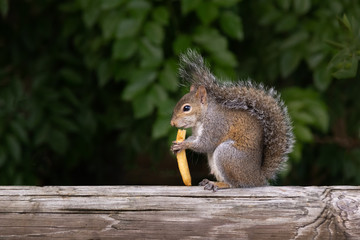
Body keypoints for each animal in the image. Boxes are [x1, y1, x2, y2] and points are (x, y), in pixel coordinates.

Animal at [170, 49, 294, 190]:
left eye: (186, 108)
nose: (172, 123)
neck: (204, 116)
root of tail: (257, 178)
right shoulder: (197, 132)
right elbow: (195, 139)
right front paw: (176, 146)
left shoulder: (216, 125)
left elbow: (205, 144)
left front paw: (184, 144)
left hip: (226, 154)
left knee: (234, 184)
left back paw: (217, 184)